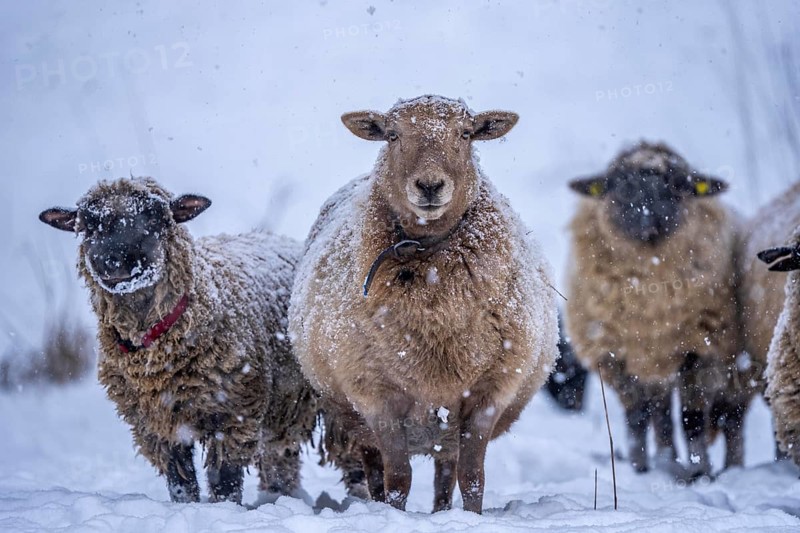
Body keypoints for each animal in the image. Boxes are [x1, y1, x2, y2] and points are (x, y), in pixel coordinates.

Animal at [39, 177, 316, 504]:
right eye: (87, 225)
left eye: (156, 218)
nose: (113, 261)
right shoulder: (154, 426)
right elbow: (181, 482)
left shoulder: (234, 414)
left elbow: (224, 480)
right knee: (279, 460)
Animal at [288, 95, 558, 514]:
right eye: (393, 135)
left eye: (465, 134)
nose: (429, 185)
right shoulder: (375, 395)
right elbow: (398, 478)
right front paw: (394, 514)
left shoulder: (490, 391)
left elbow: (473, 477)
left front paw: (473, 517)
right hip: (358, 416)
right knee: (375, 468)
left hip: (446, 421)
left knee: (446, 469)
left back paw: (443, 511)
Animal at [564, 141, 740, 479]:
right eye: (620, 186)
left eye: (677, 185)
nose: (646, 222)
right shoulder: (615, 355)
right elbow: (637, 416)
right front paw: (640, 467)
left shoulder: (700, 350)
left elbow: (692, 419)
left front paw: (701, 472)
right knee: (657, 413)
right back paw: (665, 460)